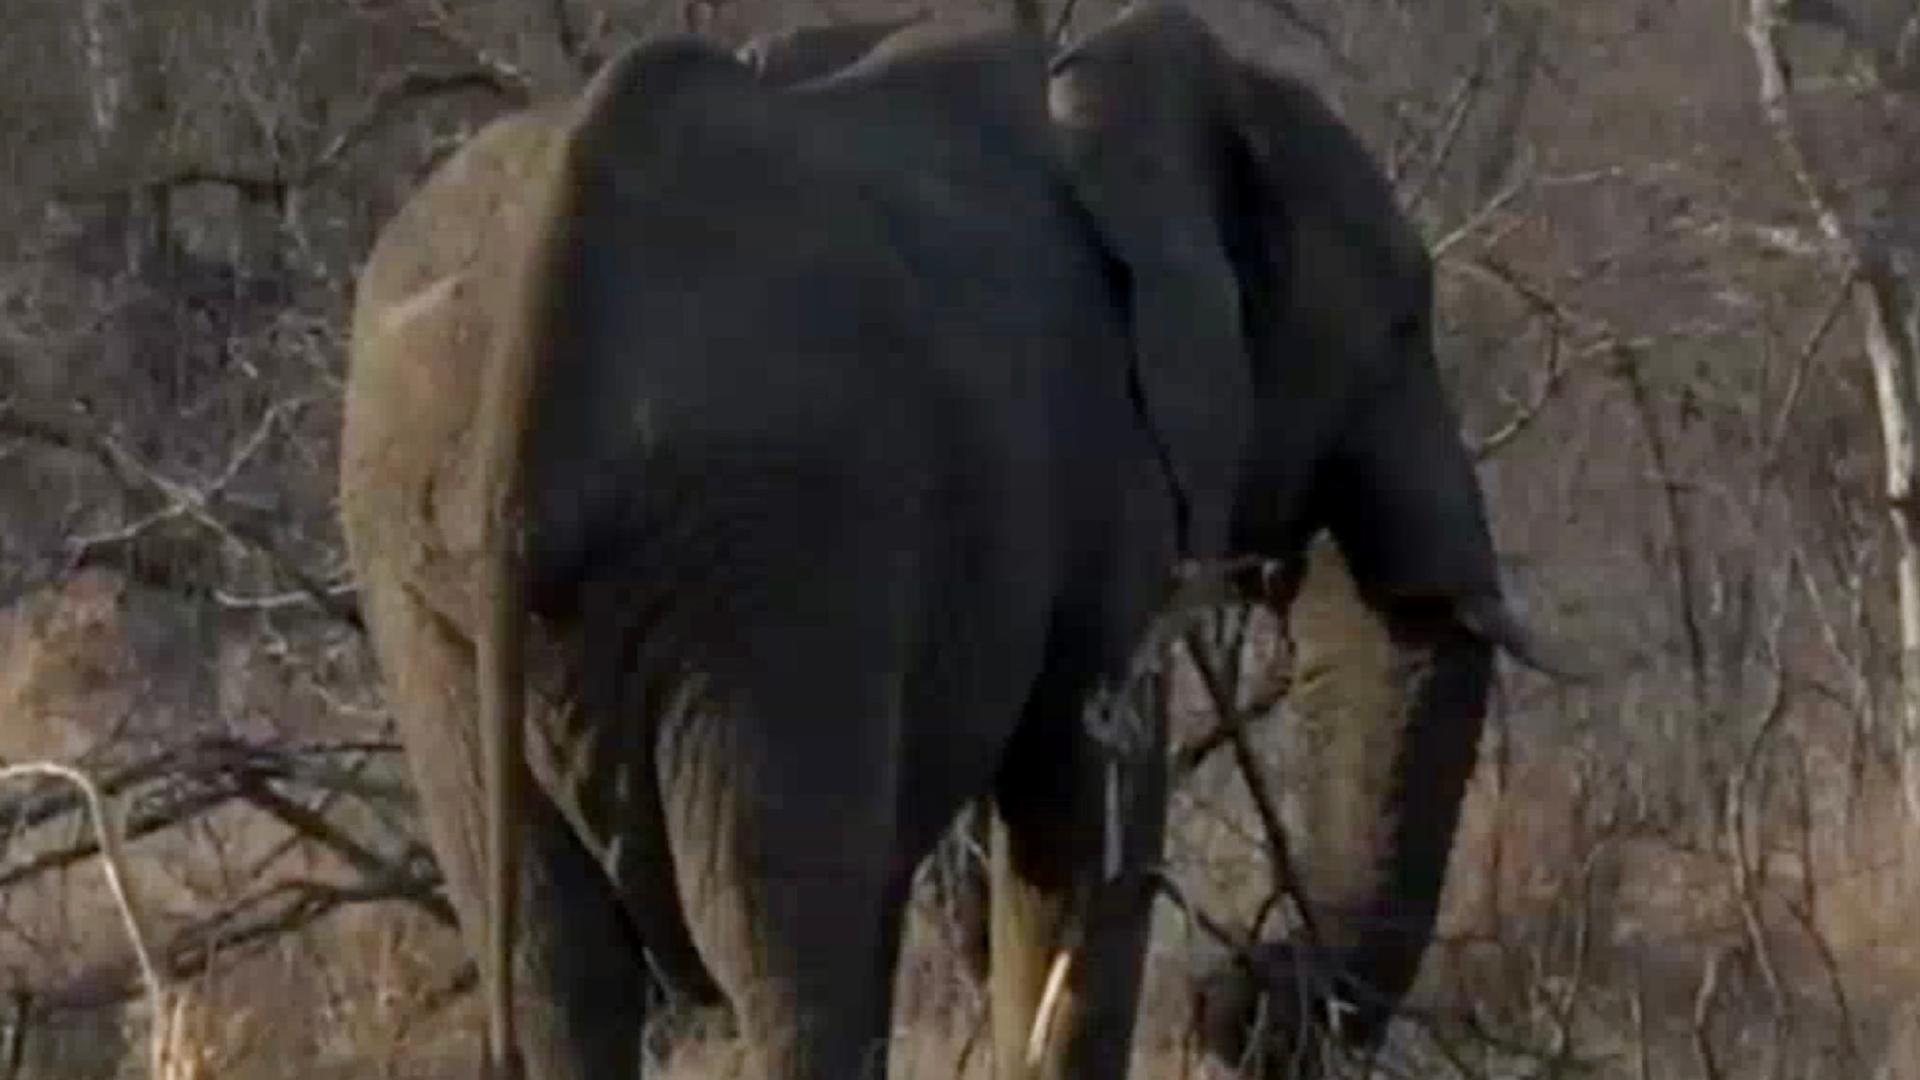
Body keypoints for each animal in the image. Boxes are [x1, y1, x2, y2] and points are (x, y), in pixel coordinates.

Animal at [337, 5, 1556, 1080]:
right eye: (1402, 323)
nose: (1242, 1003)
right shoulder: (1108, 444)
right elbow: (1088, 823)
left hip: (430, 583)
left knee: (557, 960)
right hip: (778, 553)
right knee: (782, 944)